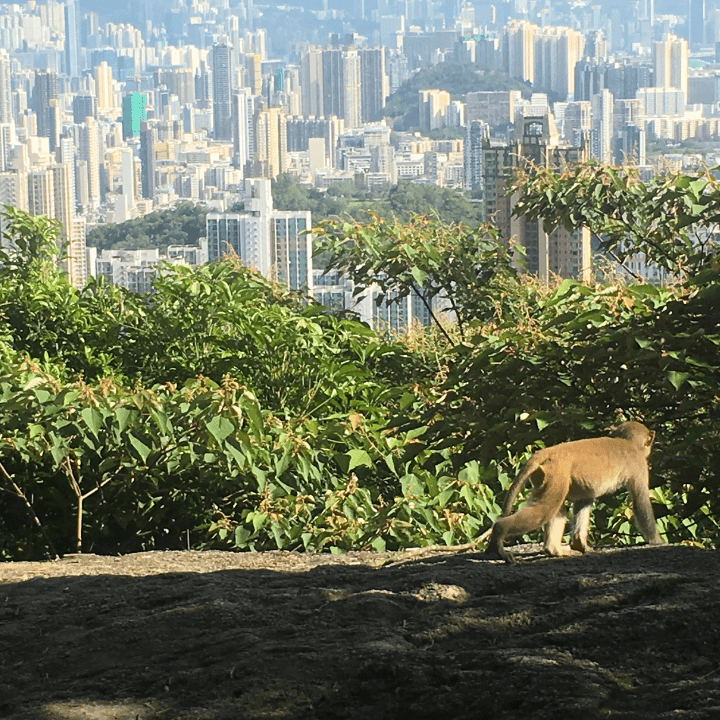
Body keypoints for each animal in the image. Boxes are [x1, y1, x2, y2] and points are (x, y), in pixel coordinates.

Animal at [484, 420, 664, 564]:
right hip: (556, 473)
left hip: (546, 477)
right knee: (545, 510)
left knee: (557, 508)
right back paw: (499, 536)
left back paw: (554, 550)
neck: (627, 443)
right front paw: (657, 541)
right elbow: (640, 501)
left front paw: (579, 544)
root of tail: (545, 452)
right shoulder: (638, 464)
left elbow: (583, 501)